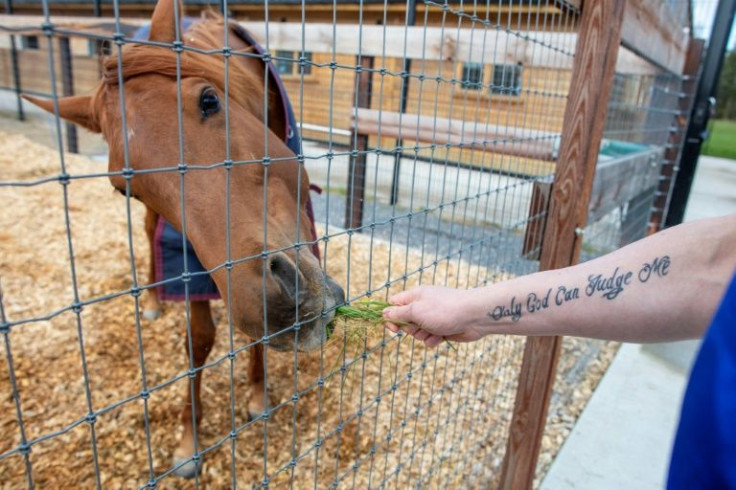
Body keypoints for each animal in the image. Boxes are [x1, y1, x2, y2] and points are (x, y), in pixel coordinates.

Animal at [23, 0, 344, 476]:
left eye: (209, 100)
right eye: (126, 188)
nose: (280, 303)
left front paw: (257, 395)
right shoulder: (190, 257)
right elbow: (199, 340)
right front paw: (188, 443)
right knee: (146, 237)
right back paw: (154, 302)